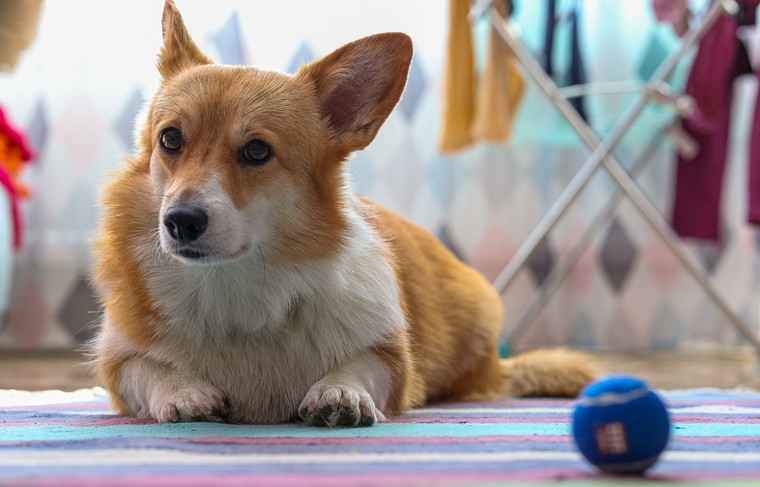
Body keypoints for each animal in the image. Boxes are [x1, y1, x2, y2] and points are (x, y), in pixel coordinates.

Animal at [90, 0, 600, 428]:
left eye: (257, 150)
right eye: (170, 139)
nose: (180, 221)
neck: (235, 286)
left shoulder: (391, 359)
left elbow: (360, 365)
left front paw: (340, 392)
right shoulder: (119, 361)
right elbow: (148, 369)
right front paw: (183, 393)